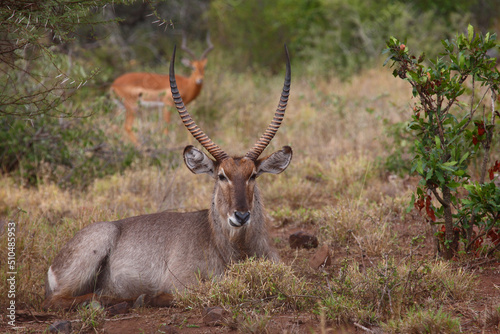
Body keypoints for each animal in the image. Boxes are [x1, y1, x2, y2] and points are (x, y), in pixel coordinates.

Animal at [44, 45, 292, 310]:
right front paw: (148, 297)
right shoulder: (181, 282)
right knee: (59, 300)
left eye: (253, 175)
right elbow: (196, 292)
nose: (241, 216)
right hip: (96, 245)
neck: (233, 247)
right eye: (221, 176)